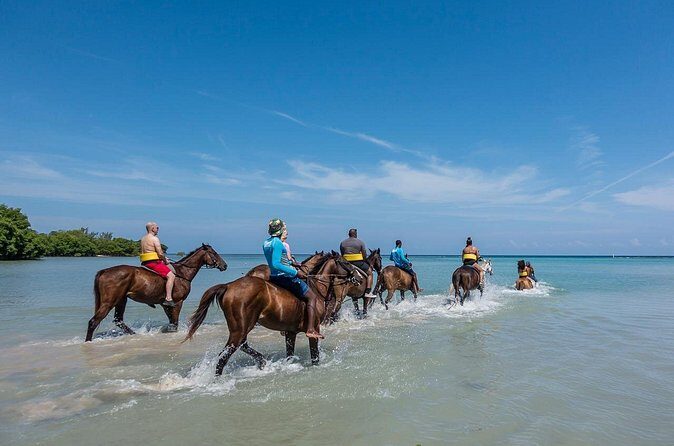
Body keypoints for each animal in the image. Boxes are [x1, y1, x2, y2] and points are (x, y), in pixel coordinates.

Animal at [85, 244, 227, 342]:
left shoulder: (165, 305)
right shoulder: (177, 302)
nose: (225, 265)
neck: (182, 273)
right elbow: (174, 324)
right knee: (93, 322)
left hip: (121, 300)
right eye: (214, 253)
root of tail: (104, 271)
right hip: (109, 302)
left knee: (118, 320)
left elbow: (171, 323)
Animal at [184, 253, 359, 375]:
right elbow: (314, 356)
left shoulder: (290, 332)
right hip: (240, 328)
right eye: (345, 262)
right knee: (224, 355)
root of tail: (228, 286)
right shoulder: (314, 329)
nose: (357, 277)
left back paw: (262, 361)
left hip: (242, 327)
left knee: (242, 345)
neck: (316, 288)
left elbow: (290, 354)